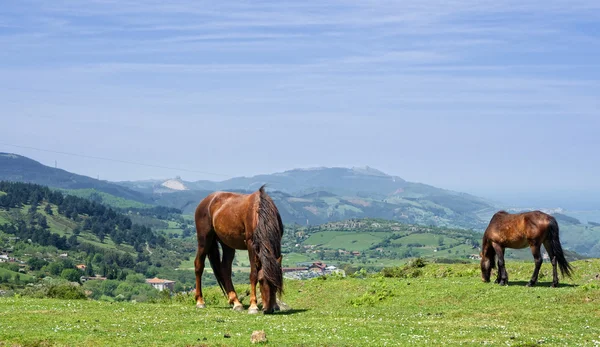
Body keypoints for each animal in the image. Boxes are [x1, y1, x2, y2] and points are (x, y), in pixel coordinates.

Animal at [195, 186, 284, 314]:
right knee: (199, 265)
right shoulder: (251, 244)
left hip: (227, 244)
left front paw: (276, 305)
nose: (268, 309)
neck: (260, 211)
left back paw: (236, 302)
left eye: (276, 283)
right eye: (261, 280)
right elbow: (253, 274)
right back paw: (200, 301)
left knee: (225, 269)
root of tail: (206, 201)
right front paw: (253, 306)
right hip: (204, 241)